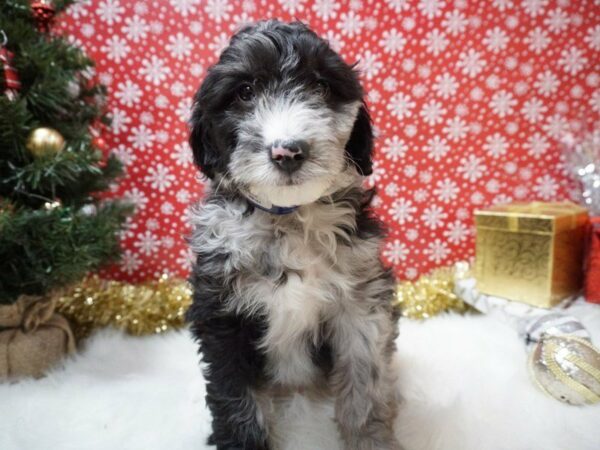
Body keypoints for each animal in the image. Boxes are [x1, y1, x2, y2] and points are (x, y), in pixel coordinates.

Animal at [186, 19, 404, 448]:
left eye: (320, 87)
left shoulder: (361, 302)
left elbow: (364, 383)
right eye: (245, 92)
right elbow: (235, 395)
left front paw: (370, 437)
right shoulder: (221, 311)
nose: (287, 151)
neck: (288, 219)